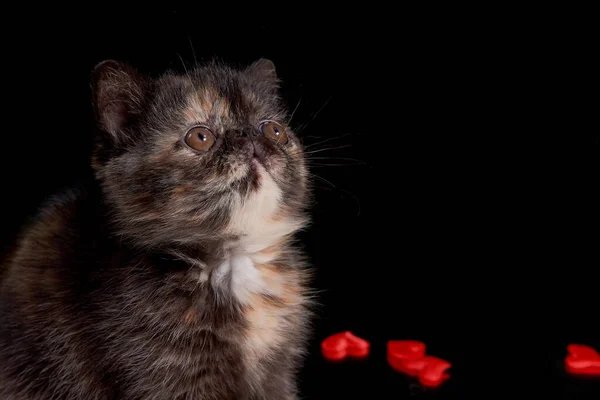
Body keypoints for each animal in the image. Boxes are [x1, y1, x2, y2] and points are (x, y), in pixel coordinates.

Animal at [1, 57, 314, 398]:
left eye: (274, 130)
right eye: (200, 137)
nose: (250, 137)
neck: (233, 258)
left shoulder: (277, 376)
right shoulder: (164, 373)